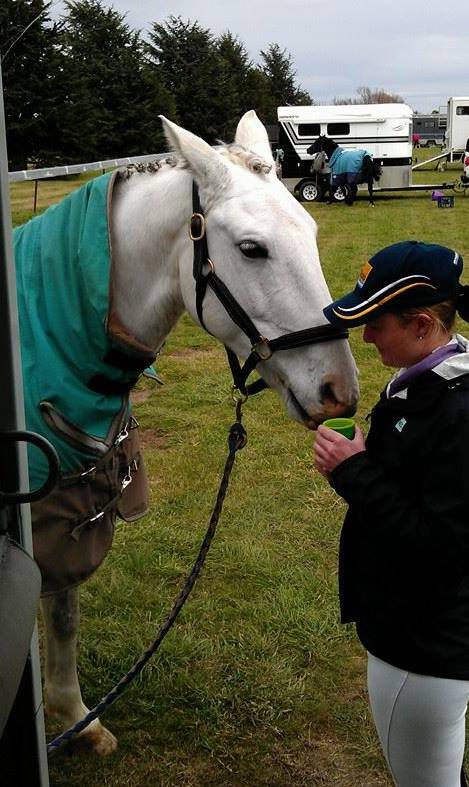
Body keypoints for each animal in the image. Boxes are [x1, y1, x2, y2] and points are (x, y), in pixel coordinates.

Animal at [36, 107, 358, 756]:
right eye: (253, 249)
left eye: (312, 231)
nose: (340, 390)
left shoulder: (67, 512)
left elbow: (63, 612)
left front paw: (77, 719)